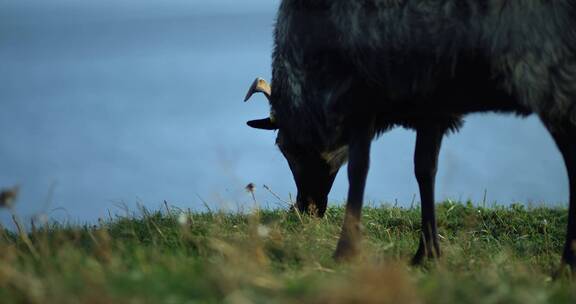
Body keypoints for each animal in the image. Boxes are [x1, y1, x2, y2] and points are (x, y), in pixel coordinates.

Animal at [243, 0, 576, 270]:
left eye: (286, 148)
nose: (304, 209)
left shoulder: (359, 96)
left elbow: (358, 170)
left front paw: (346, 251)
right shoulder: (430, 104)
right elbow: (424, 170)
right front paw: (427, 254)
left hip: (548, 68)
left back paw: (566, 266)